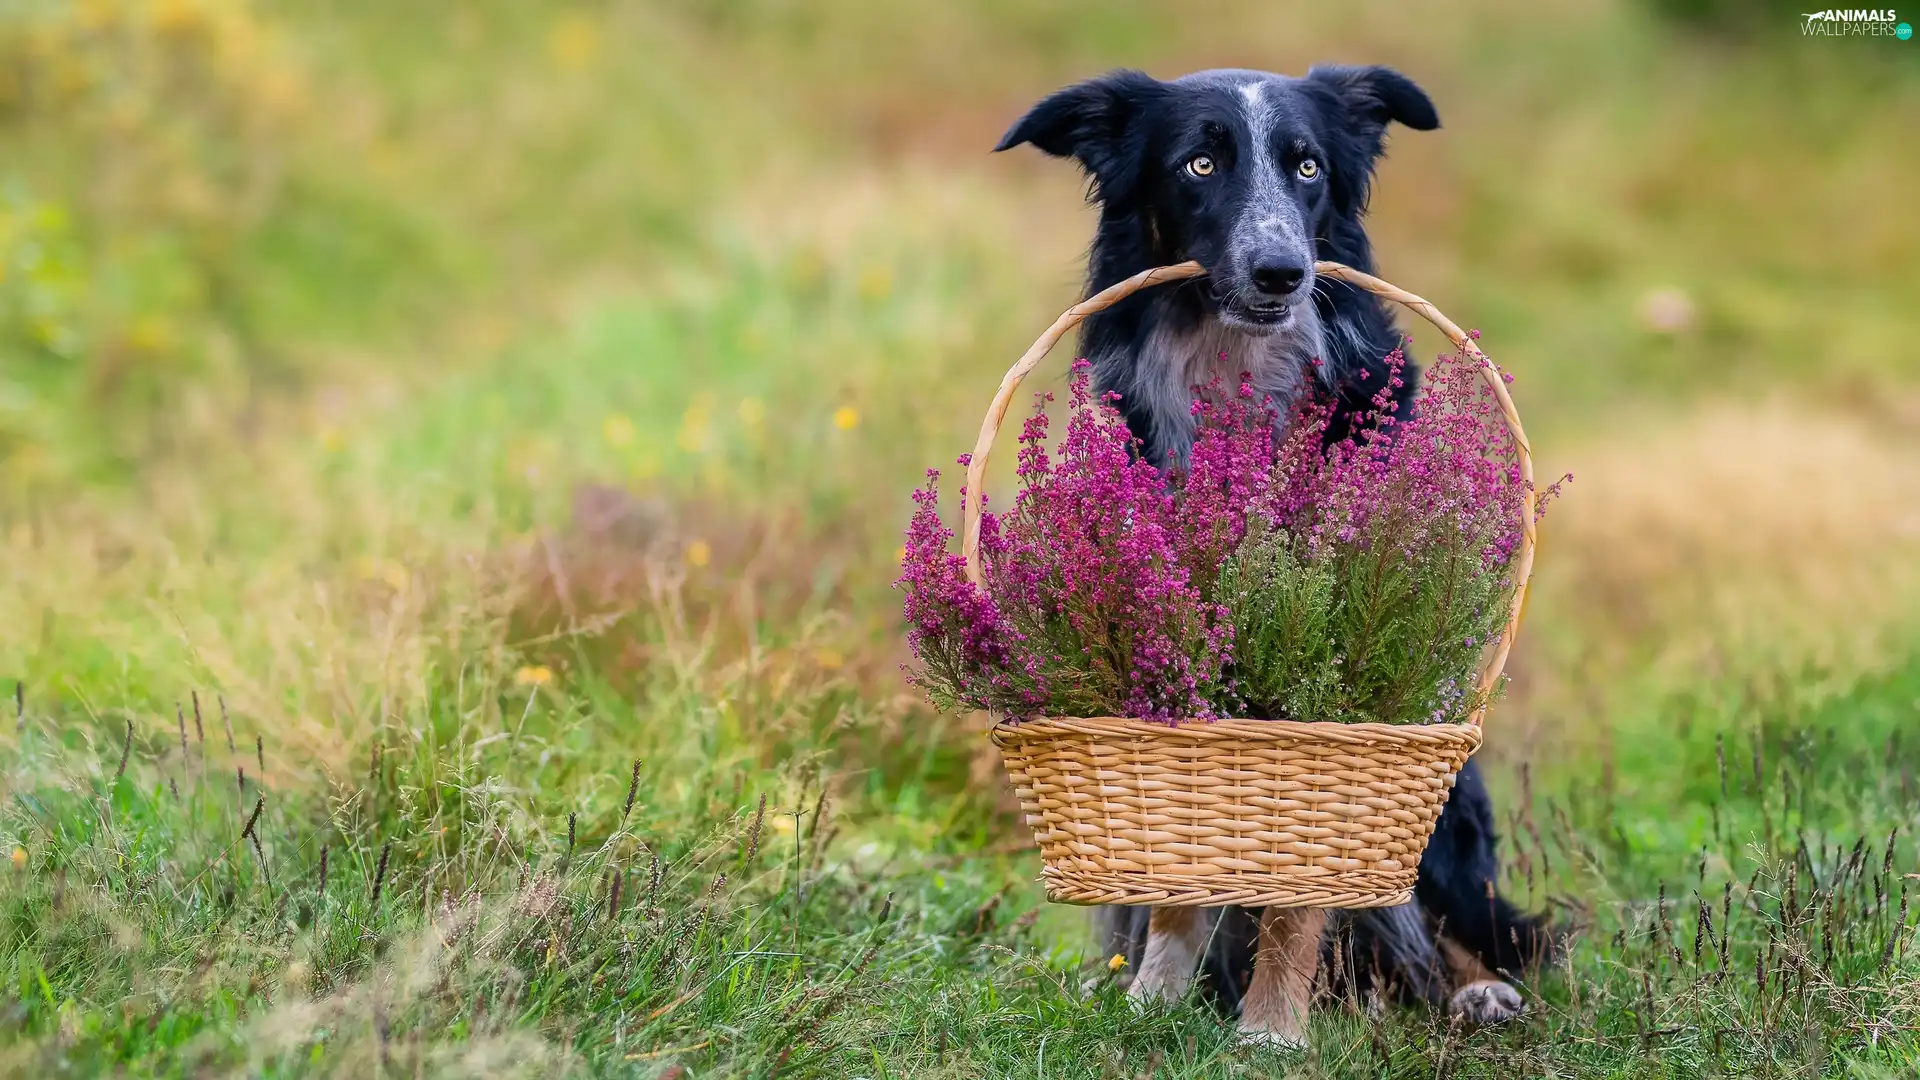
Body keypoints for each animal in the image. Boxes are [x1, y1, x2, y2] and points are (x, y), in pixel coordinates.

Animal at [998, 65, 1551, 1045]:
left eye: (1307, 166)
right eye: (1200, 162)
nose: (1282, 271)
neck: (1236, 367)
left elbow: (1305, 884)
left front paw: (1269, 1030)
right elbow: (1182, 879)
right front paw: (1154, 999)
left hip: (1452, 820)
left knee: (1453, 926)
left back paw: (1474, 992)